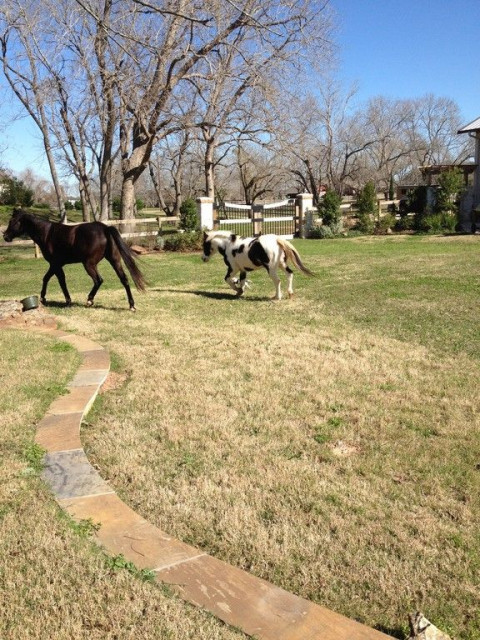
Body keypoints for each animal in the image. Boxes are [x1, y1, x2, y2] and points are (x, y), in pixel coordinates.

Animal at [2, 209, 145, 312]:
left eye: (13, 221)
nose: (5, 236)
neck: (47, 233)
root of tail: (105, 228)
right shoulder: (56, 265)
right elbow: (52, 279)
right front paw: (48, 298)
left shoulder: (55, 264)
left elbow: (56, 280)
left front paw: (61, 300)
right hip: (114, 261)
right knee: (124, 279)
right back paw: (131, 305)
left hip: (89, 264)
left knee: (98, 280)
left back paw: (89, 300)